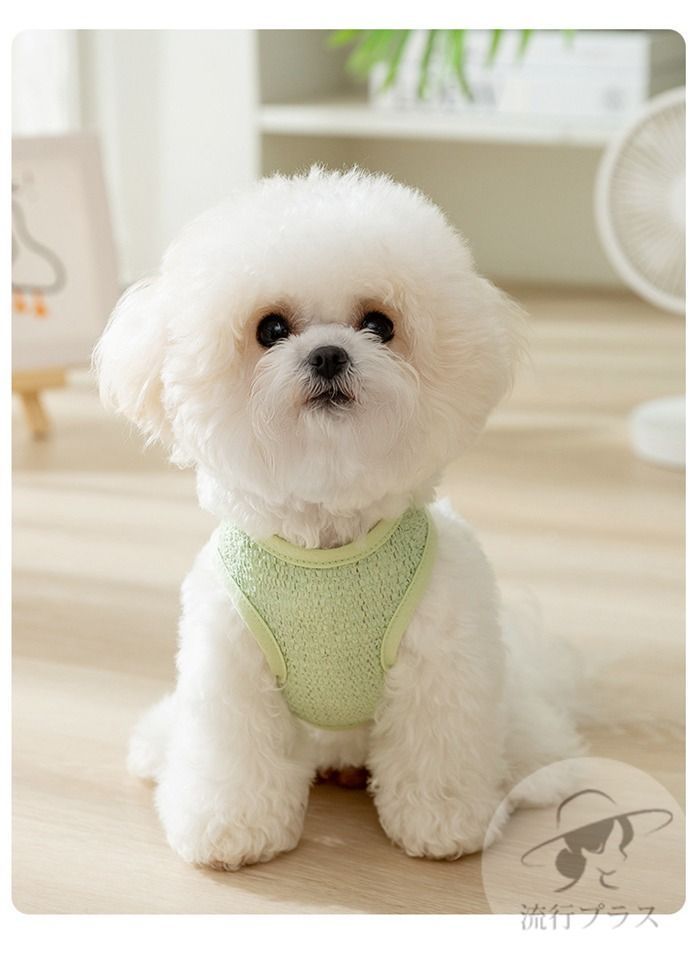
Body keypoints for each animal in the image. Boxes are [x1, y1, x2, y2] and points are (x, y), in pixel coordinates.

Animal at [95, 167, 584, 869]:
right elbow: (232, 755)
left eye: (378, 323)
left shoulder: (443, 659)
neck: (326, 544)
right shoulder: (231, 663)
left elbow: (438, 747)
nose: (328, 354)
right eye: (271, 328)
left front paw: (443, 822)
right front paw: (230, 828)